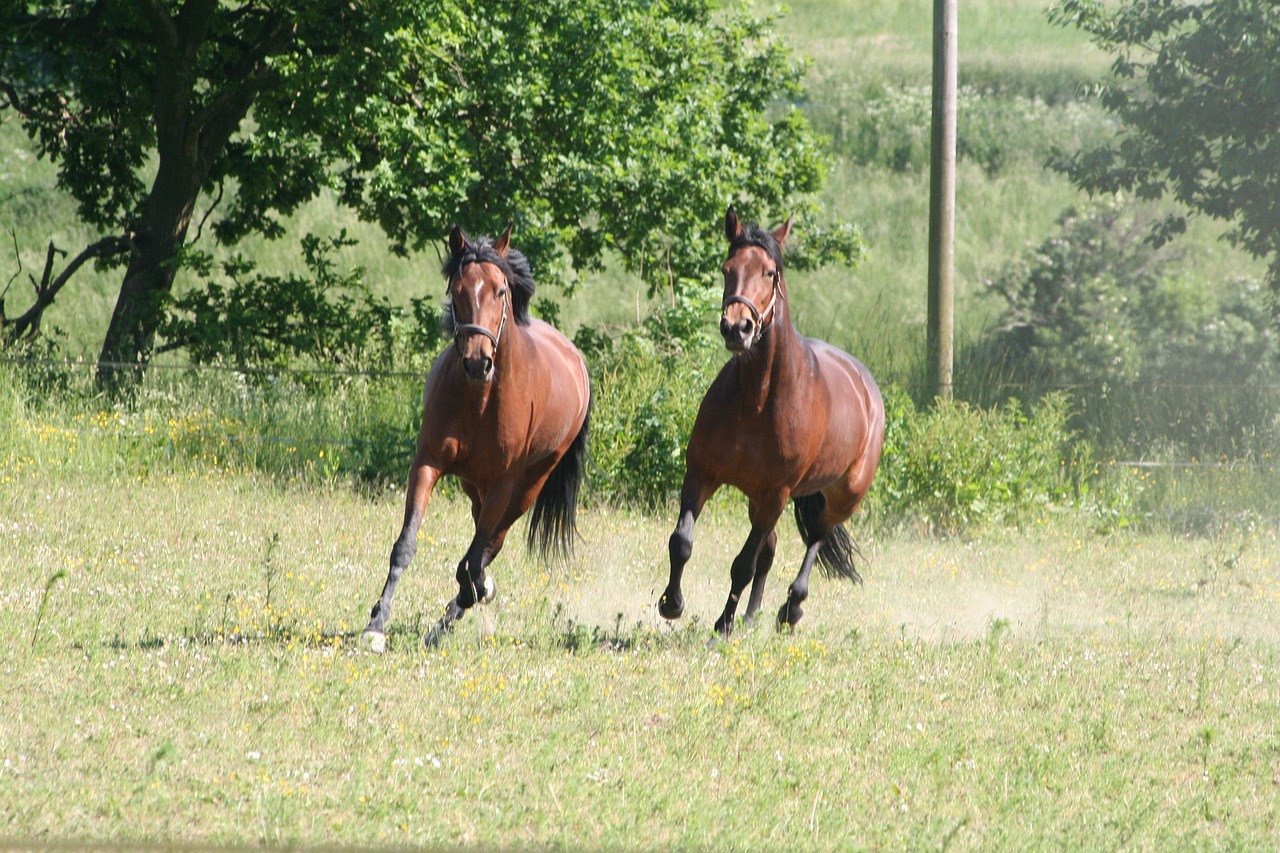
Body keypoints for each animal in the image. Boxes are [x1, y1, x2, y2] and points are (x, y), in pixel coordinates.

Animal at [360, 222, 588, 648]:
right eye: (457, 289)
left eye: (501, 290)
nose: (478, 362)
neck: (479, 398)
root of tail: (575, 359)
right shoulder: (428, 464)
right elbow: (405, 546)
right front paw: (376, 625)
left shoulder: (503, 485)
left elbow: (472, 560)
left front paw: (468, 597)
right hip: (472, 485)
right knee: (482, 542)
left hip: (526, 487)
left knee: (491, 543)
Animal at [660, 204, 880, 630]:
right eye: (727, 268)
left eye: (770, 273)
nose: (737, 327)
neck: (756, 401)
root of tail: (866, 386)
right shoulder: (701, 474)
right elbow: (682, 542)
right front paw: (671, 603)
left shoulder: (776, 494)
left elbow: (742, 565)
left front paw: (722, 627)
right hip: (758, 500)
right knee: (772, 550)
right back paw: (751, 617)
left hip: (840, 496)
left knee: (816, 538)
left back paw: (790, 609)